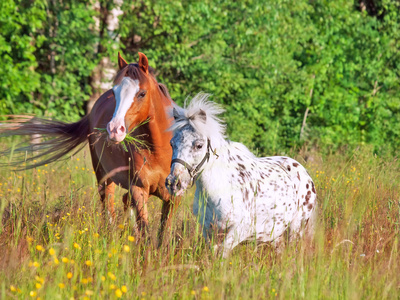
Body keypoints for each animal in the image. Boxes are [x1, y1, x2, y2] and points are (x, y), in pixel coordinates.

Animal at [0, 52, 178, 244]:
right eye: (115, 93)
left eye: (142, 93)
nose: (114, 129)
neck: (160, 150)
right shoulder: (139, 190)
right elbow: (146, 232)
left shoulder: (174, 196)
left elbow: (164, 234)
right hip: (104, 176)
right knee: (109, 209)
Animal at [165, 94, 316, 258]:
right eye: (172, 144)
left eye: (199, 145)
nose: (173, 183)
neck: (220, 188)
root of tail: (303, 171)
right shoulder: (209, 231)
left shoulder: (239, 230)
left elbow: (222, 254)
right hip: (276, 234)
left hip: (296, 229)